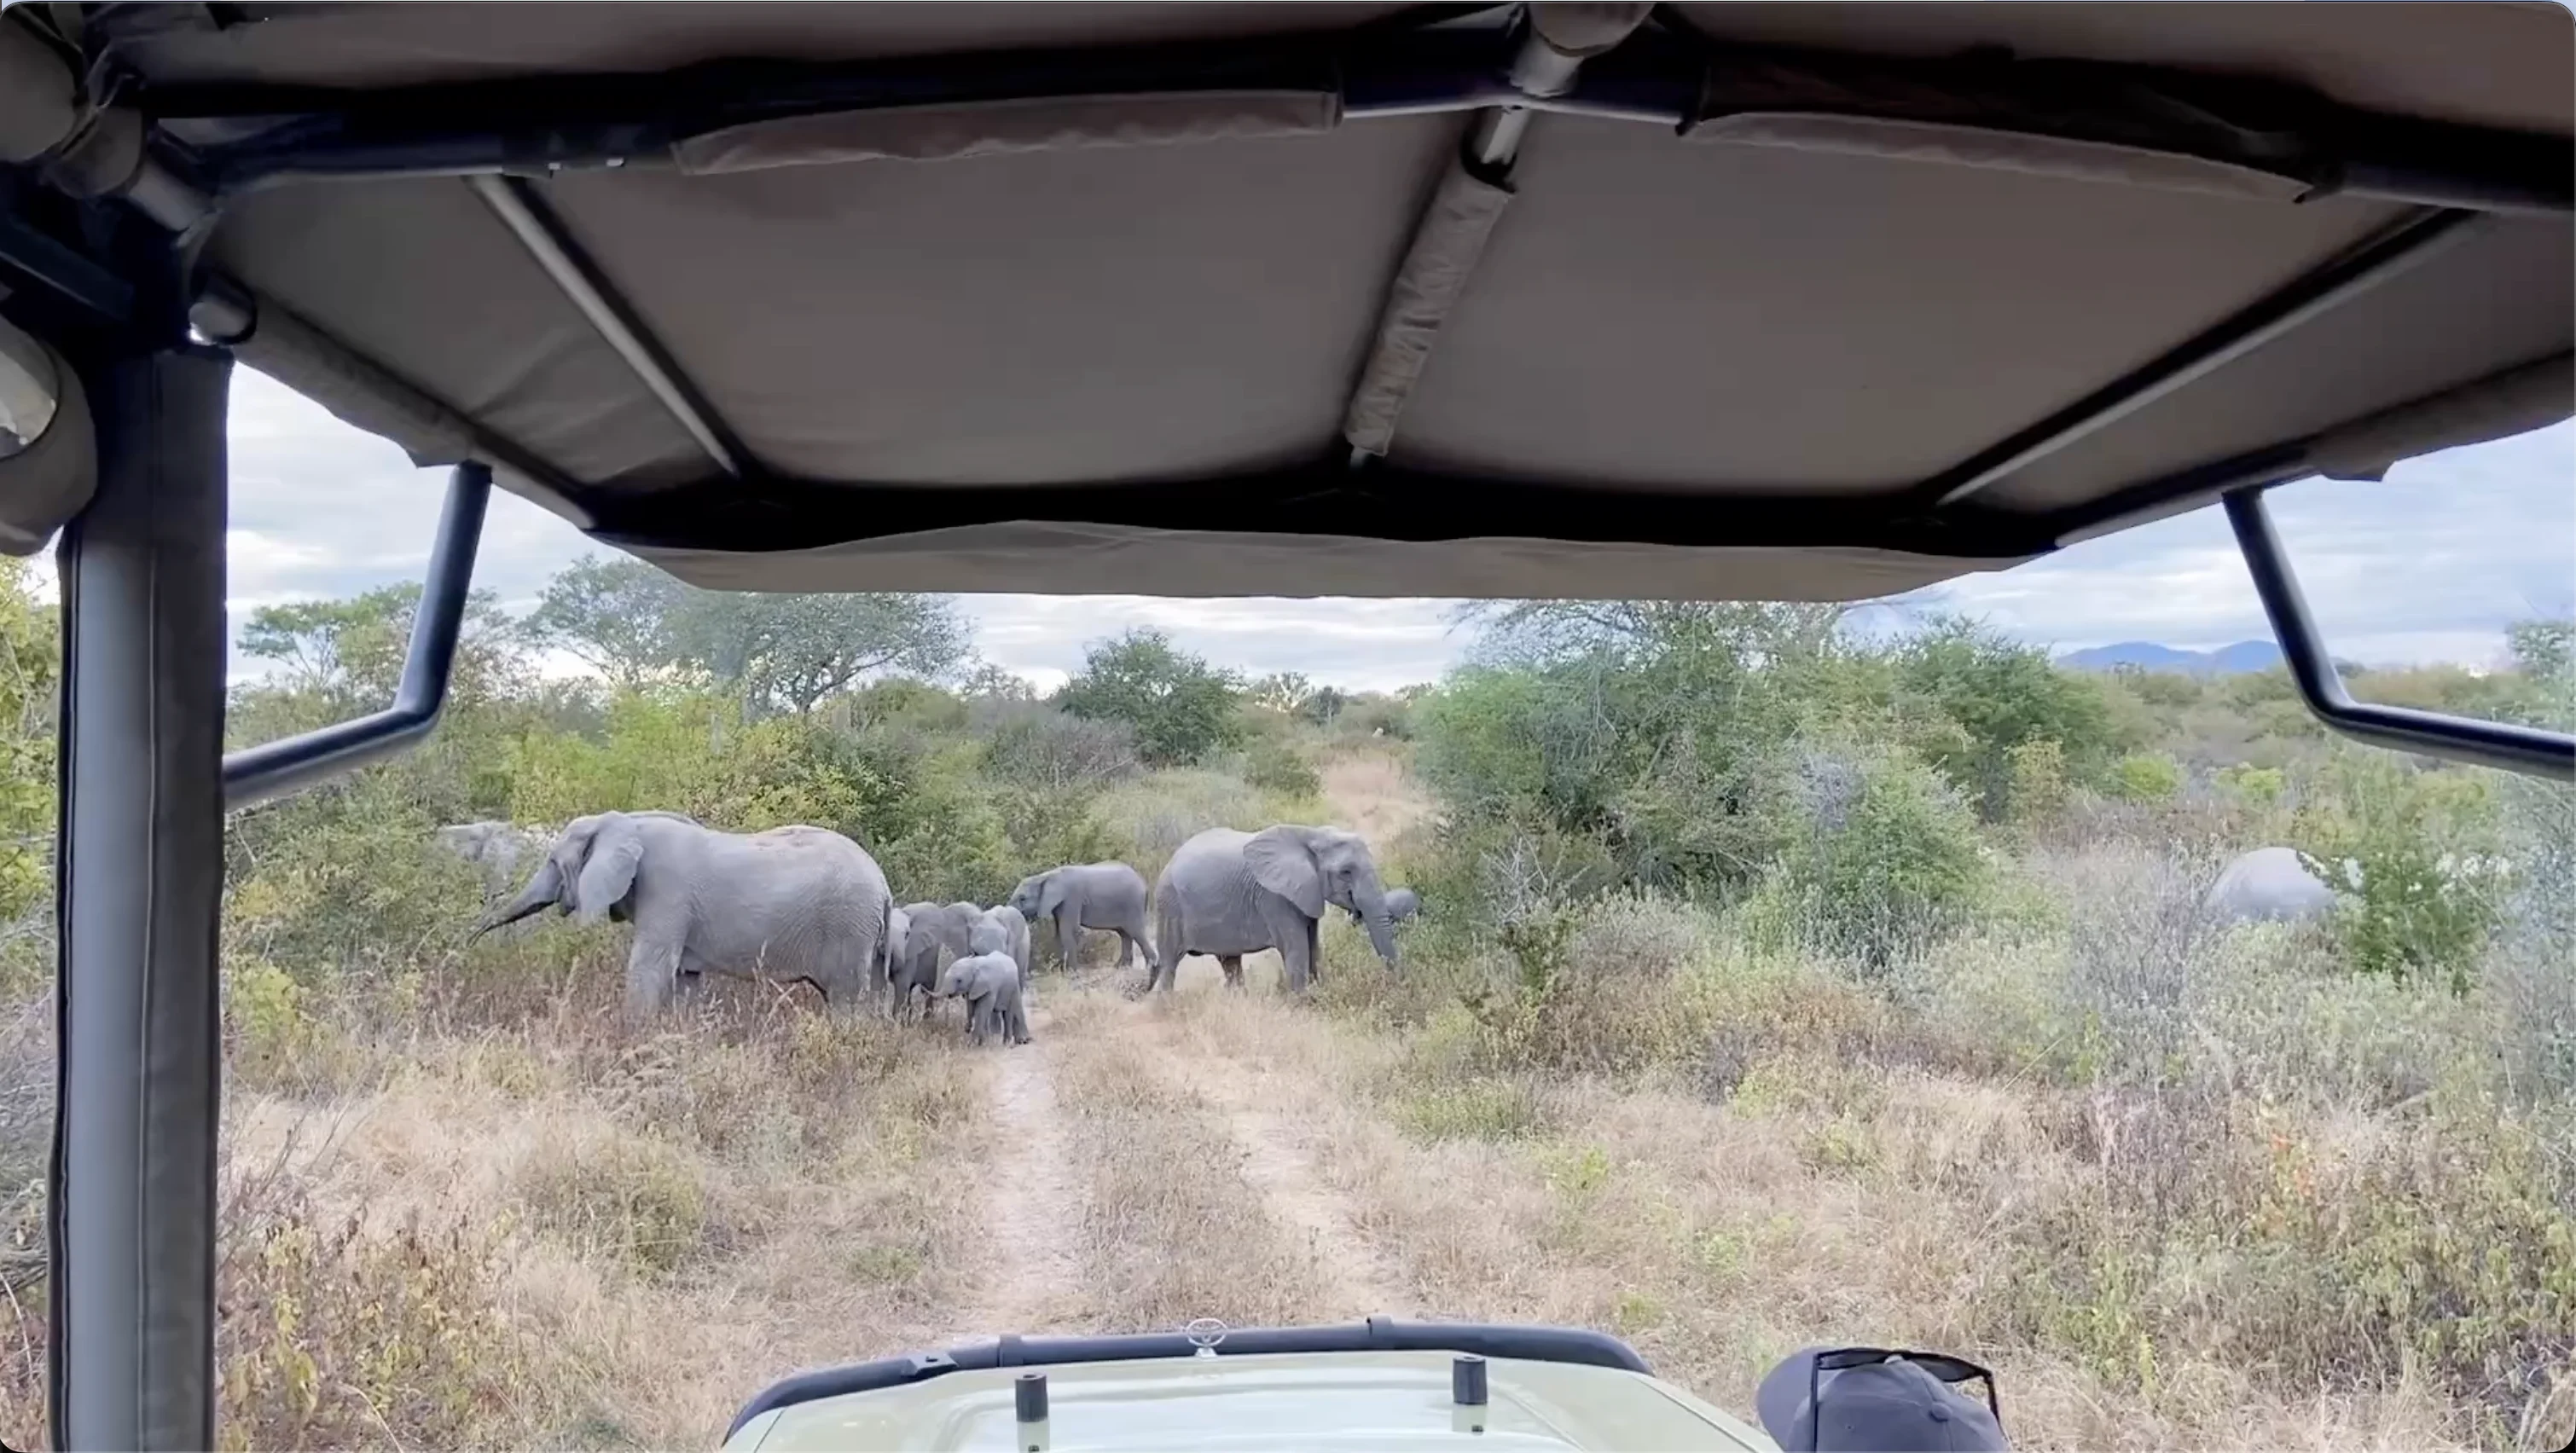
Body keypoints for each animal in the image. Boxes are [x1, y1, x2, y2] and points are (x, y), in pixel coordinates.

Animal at [475, 810, 891, 1021]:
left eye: (552, 861)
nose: (470, 941)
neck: (625, 823)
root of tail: (884, 885)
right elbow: (683, 978)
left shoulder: (665, 893)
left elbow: (649, 967)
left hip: (849, 926)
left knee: (847, 1000)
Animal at [1007, 862, 1153, 974]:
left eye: (1022, 898)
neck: (1046, 876)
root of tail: (1144, 885)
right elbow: (1059, 932)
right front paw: (1056, 970)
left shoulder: (1071, 898)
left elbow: (1068, 930)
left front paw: (1070, 973)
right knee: (1125, 934)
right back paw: (1120, 968)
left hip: (1133, 905)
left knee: (1136, 932)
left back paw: (1150, 967)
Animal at [1150, 825, 1398, 994]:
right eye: (1346, 872)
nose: (1356, 914)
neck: (1312, 834)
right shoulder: (1274, 897)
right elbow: (1296, 949)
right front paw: (1301, 1005)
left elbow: (1313, 947)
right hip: (1170, 906)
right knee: (1170, 964)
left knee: (1230, 961)